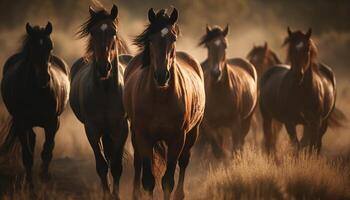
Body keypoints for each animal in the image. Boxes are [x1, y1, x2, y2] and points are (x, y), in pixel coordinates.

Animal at [0, 21, 70, 188]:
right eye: (32, 47)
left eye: (50, 46)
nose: (44, 78)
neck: (37, 91)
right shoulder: (21, 123)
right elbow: (27, 156)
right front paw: (30, 186)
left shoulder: (52, 123)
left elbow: (47, 152)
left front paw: (44, 177)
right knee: (31, 142)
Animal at [69, 4, 131, 197]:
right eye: (92, 32)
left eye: (114, 31)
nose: (104, 68)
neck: (105, 92)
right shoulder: (92, 129)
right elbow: (102, 166)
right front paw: (107, 194)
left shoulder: (121, 128)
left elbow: (117, 166)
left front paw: (115, 195)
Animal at [123, 7, 205, 200]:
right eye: (151, 39)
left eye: (173, 38)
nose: (162, 76)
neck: (161, 98)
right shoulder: (144, 136)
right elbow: (148, 180)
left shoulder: (177, 138)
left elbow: (168, 181)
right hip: (136, 134)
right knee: (138, 162)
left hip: (192, 133)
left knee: (184, 161)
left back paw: (180, 194)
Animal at [198, 25, 258, 159]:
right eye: (208, 46)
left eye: (225, 45)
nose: (216, 73)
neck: (219, 93)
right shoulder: (210, 126)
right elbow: (217, 149)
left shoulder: (235, 125)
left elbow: (235, 149)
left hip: (247, 120)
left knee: (241, 142)